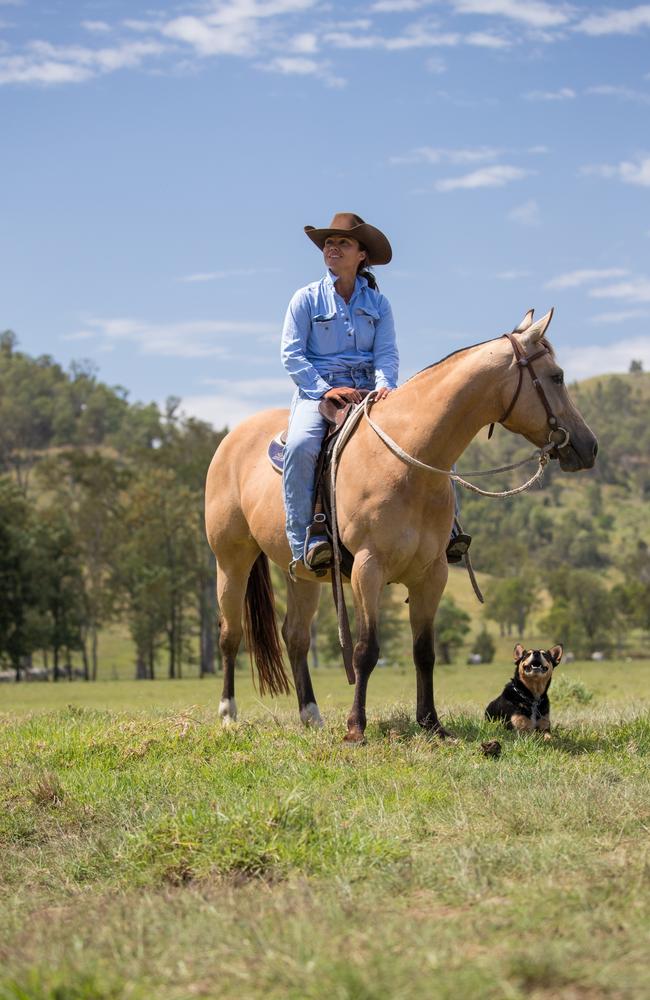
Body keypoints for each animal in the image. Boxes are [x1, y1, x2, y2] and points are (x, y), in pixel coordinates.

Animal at [205, 310, 596, 744]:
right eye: (557, 376)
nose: (589, 445)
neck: (408, 462)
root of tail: (231, 440)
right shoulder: (368, 568)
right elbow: (365, 650)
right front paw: (356, 728)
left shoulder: (431, 573)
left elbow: (424, 652)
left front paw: (431, 724)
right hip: (231, 560)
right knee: (230, 634)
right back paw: (228, 714)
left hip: (303, 574)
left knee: (296, 637)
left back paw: (311, 715)